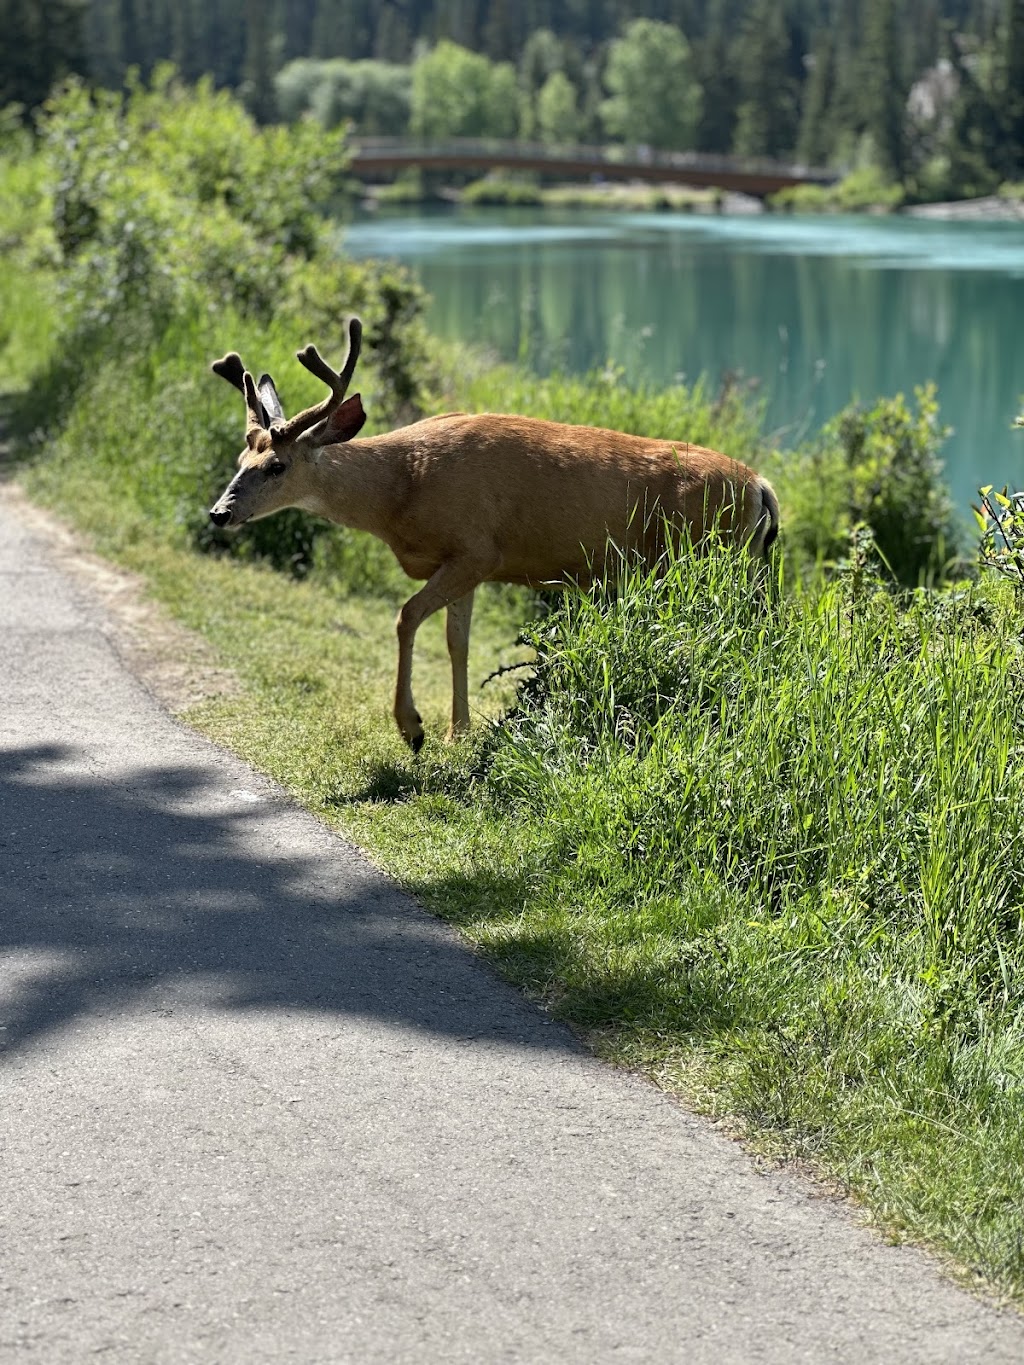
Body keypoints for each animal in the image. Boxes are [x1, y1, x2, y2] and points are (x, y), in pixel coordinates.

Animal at [212, 318, 780, 753]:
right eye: (242, 459)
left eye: (277, 466)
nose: (219, 513)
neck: (400, 491)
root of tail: (761, 486)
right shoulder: (465, 564)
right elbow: (456, 641)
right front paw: (457, 732)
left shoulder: (476, 550)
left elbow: (406, 616)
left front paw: (413, 727)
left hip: (705, 557)